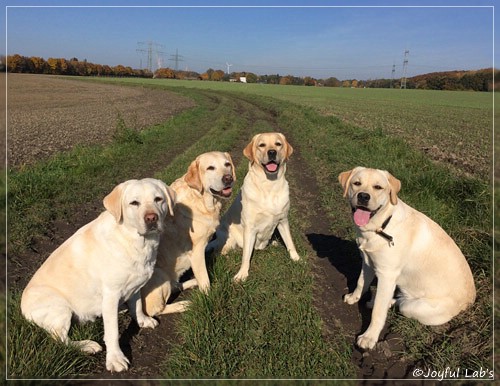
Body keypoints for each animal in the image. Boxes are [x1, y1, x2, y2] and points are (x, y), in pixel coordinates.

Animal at [21, 179, 176, 372]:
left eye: (158, 199)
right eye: (134, 203)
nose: (151, 218)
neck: (133, 241)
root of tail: (22, 309)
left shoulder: (135, 286)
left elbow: (138, 305)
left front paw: (142, 320)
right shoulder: (111, 294)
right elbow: (112, 332)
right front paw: (115, 358)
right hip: (60, 307)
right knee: (60, 339)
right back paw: (87, 345)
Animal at [141, 151, 234, 316]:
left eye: (227, 164)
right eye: (210, 168)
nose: (228, 178)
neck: (201, 199)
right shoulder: (196, 252)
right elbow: (205, 281)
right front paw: (209, 299)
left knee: (175, 286)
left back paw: (190, 282)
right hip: (159, 275)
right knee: (156, 310)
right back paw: (183, 304)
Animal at [208, 134, 298, 282]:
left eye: (278, 144)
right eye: (261, 145)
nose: (272, 152)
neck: (269, 185)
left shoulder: (283, 220)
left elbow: (290, 241)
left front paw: (296, 258)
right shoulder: (250, 228)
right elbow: (246, 256)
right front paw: (242, 274)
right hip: (227, 233)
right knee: (222, 245)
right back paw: (224, 251)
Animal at [338, 167, 474, 352]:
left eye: (378, 187)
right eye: (356, 183)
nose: (363, 196)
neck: (381, 225)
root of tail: (470, 300)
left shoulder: (387, 275)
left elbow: (378, 312)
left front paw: (369, 337)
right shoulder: (368, 262)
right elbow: (361, 283)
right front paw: (354, 297)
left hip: (415, 307)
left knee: (400, 303)